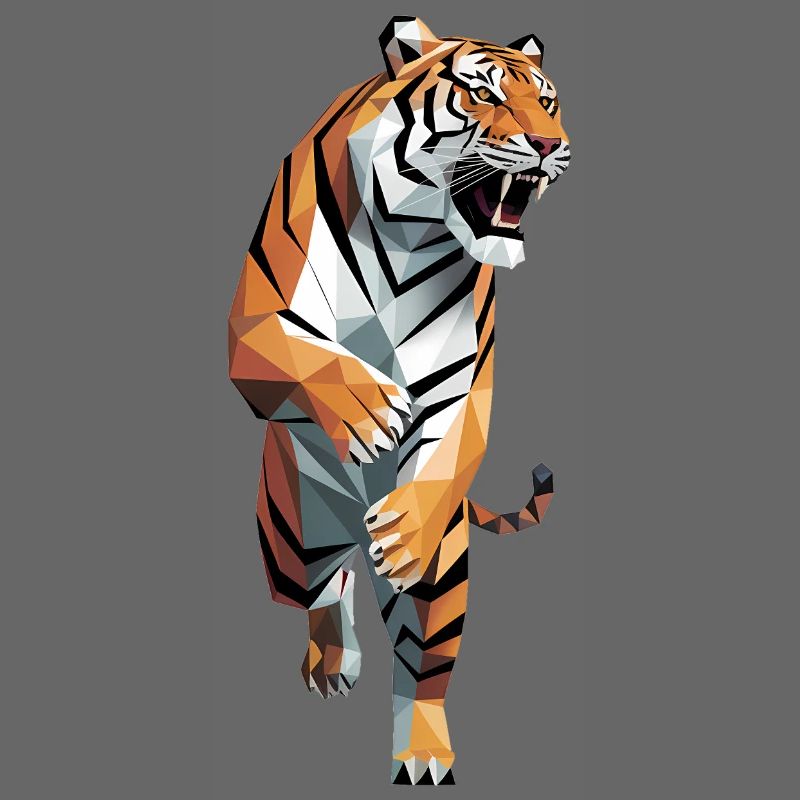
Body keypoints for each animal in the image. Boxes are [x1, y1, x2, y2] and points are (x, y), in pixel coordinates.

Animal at [227, 16, 571, 785]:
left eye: (548, 102)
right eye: (483, 94)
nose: (548, 145)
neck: (413, 237)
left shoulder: (465, 379)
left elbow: (454, 437)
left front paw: (405, 527)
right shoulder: (253, 325)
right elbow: (301, 358)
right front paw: (368, 411)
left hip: (445, 573)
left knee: (423, 668)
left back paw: (424, 755)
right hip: (289, 544)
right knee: (323, 590)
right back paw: (333, 661)